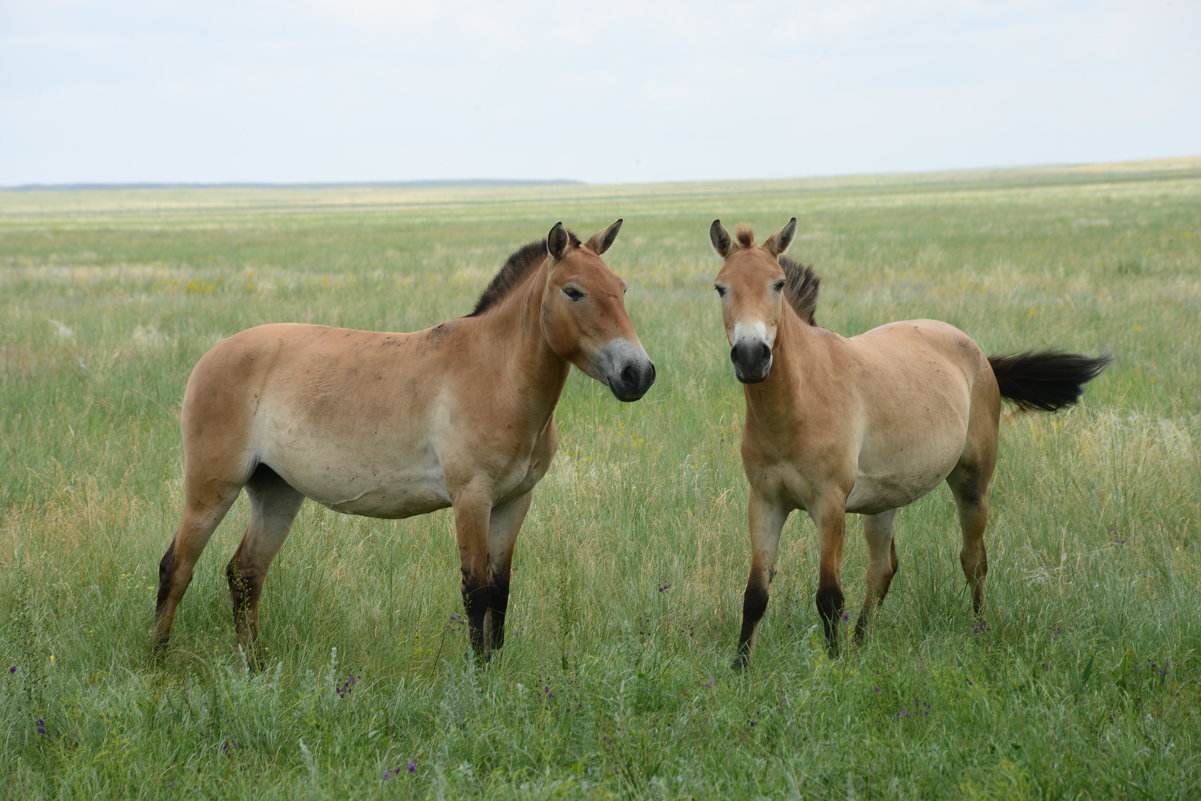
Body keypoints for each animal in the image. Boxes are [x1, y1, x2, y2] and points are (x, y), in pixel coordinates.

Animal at [154, 220, 658, 662]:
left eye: (621, 288)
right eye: (573, 291)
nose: (639, 373)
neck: (496, 375)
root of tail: (211, 356)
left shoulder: (514, 502)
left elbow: (500, 593)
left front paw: (495, 672)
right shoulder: (472, 499)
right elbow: (476, 593)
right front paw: (477, 681)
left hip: (276, 491)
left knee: (245, 574)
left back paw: (254, 666)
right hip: (212, 488)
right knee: (176, 568)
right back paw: (158, 662)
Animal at [706, 217, 1109, 662]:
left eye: (777, 284)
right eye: (721, 288)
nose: (751, 356)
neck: (801, 400)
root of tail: (978, 354)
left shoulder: (828, 506)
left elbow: (828, 597)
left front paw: (832, 667)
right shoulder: (765, 504)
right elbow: (755, 595)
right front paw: (740, 669)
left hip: (972, 484)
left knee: (974, 560)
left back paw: (979, 630)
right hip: (883, 503)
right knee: (883, 569)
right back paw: (862, 642)